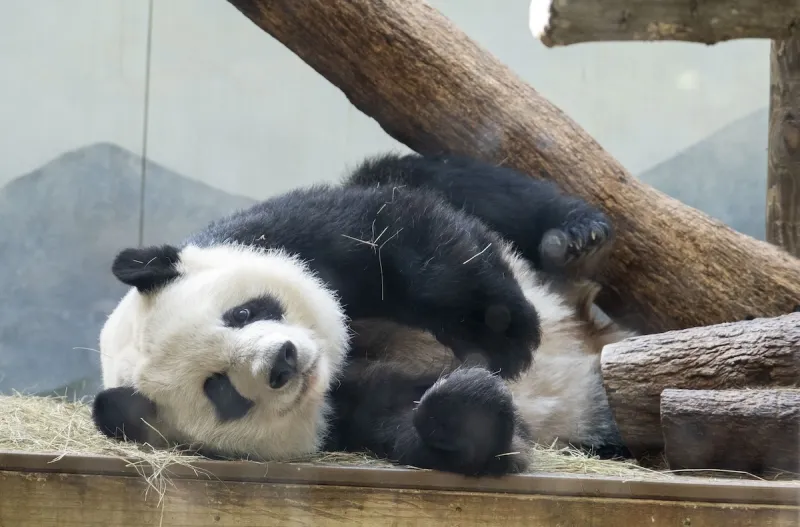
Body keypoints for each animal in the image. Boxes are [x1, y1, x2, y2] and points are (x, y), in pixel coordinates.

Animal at [91, 153, 633, 477]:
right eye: (219, 389)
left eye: (242, 313)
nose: (283, 361)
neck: (339, 359)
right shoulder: (340, 419)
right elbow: (426, 433)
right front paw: (464, 398)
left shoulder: (283, 234)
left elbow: (393, 229)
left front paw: (503, 339)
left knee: (443, 179)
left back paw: (571, 236)